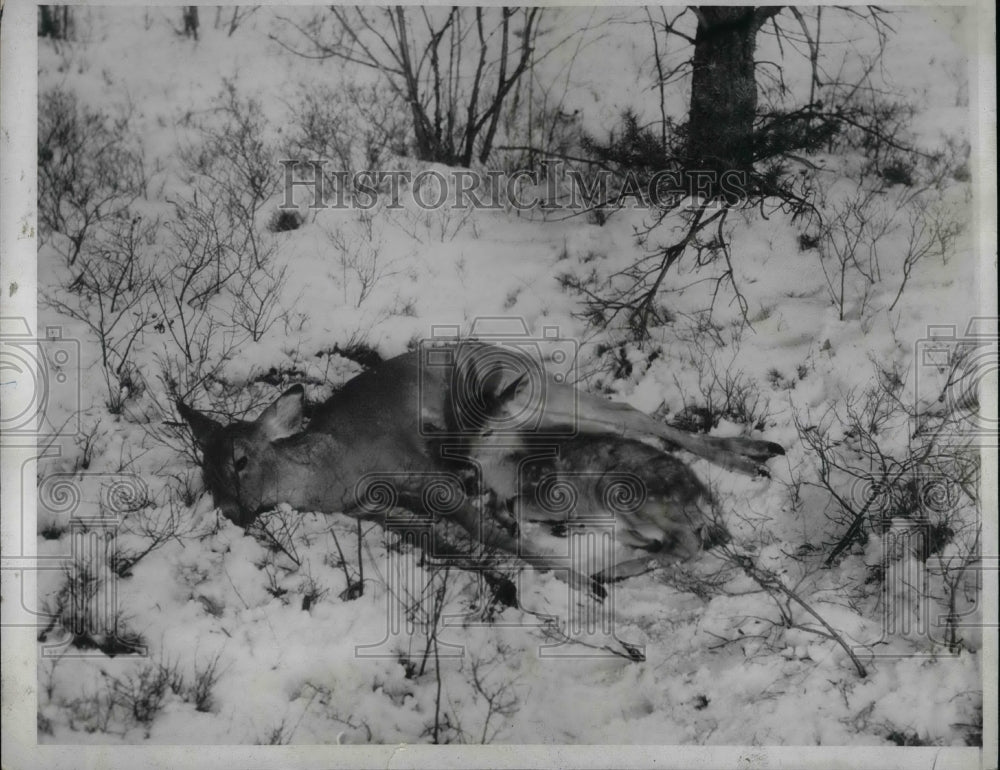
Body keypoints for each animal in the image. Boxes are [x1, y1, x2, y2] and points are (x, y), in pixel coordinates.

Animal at [177, 341, 784, 593]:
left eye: (240, 459)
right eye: (205, 471)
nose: (232, 513)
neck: (333, 470)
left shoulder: (427, 475)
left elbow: (496, 536)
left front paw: (581, 584)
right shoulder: (380, 511)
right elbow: (454, 545)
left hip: (534, 394)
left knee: (634, 415)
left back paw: (754, 458)